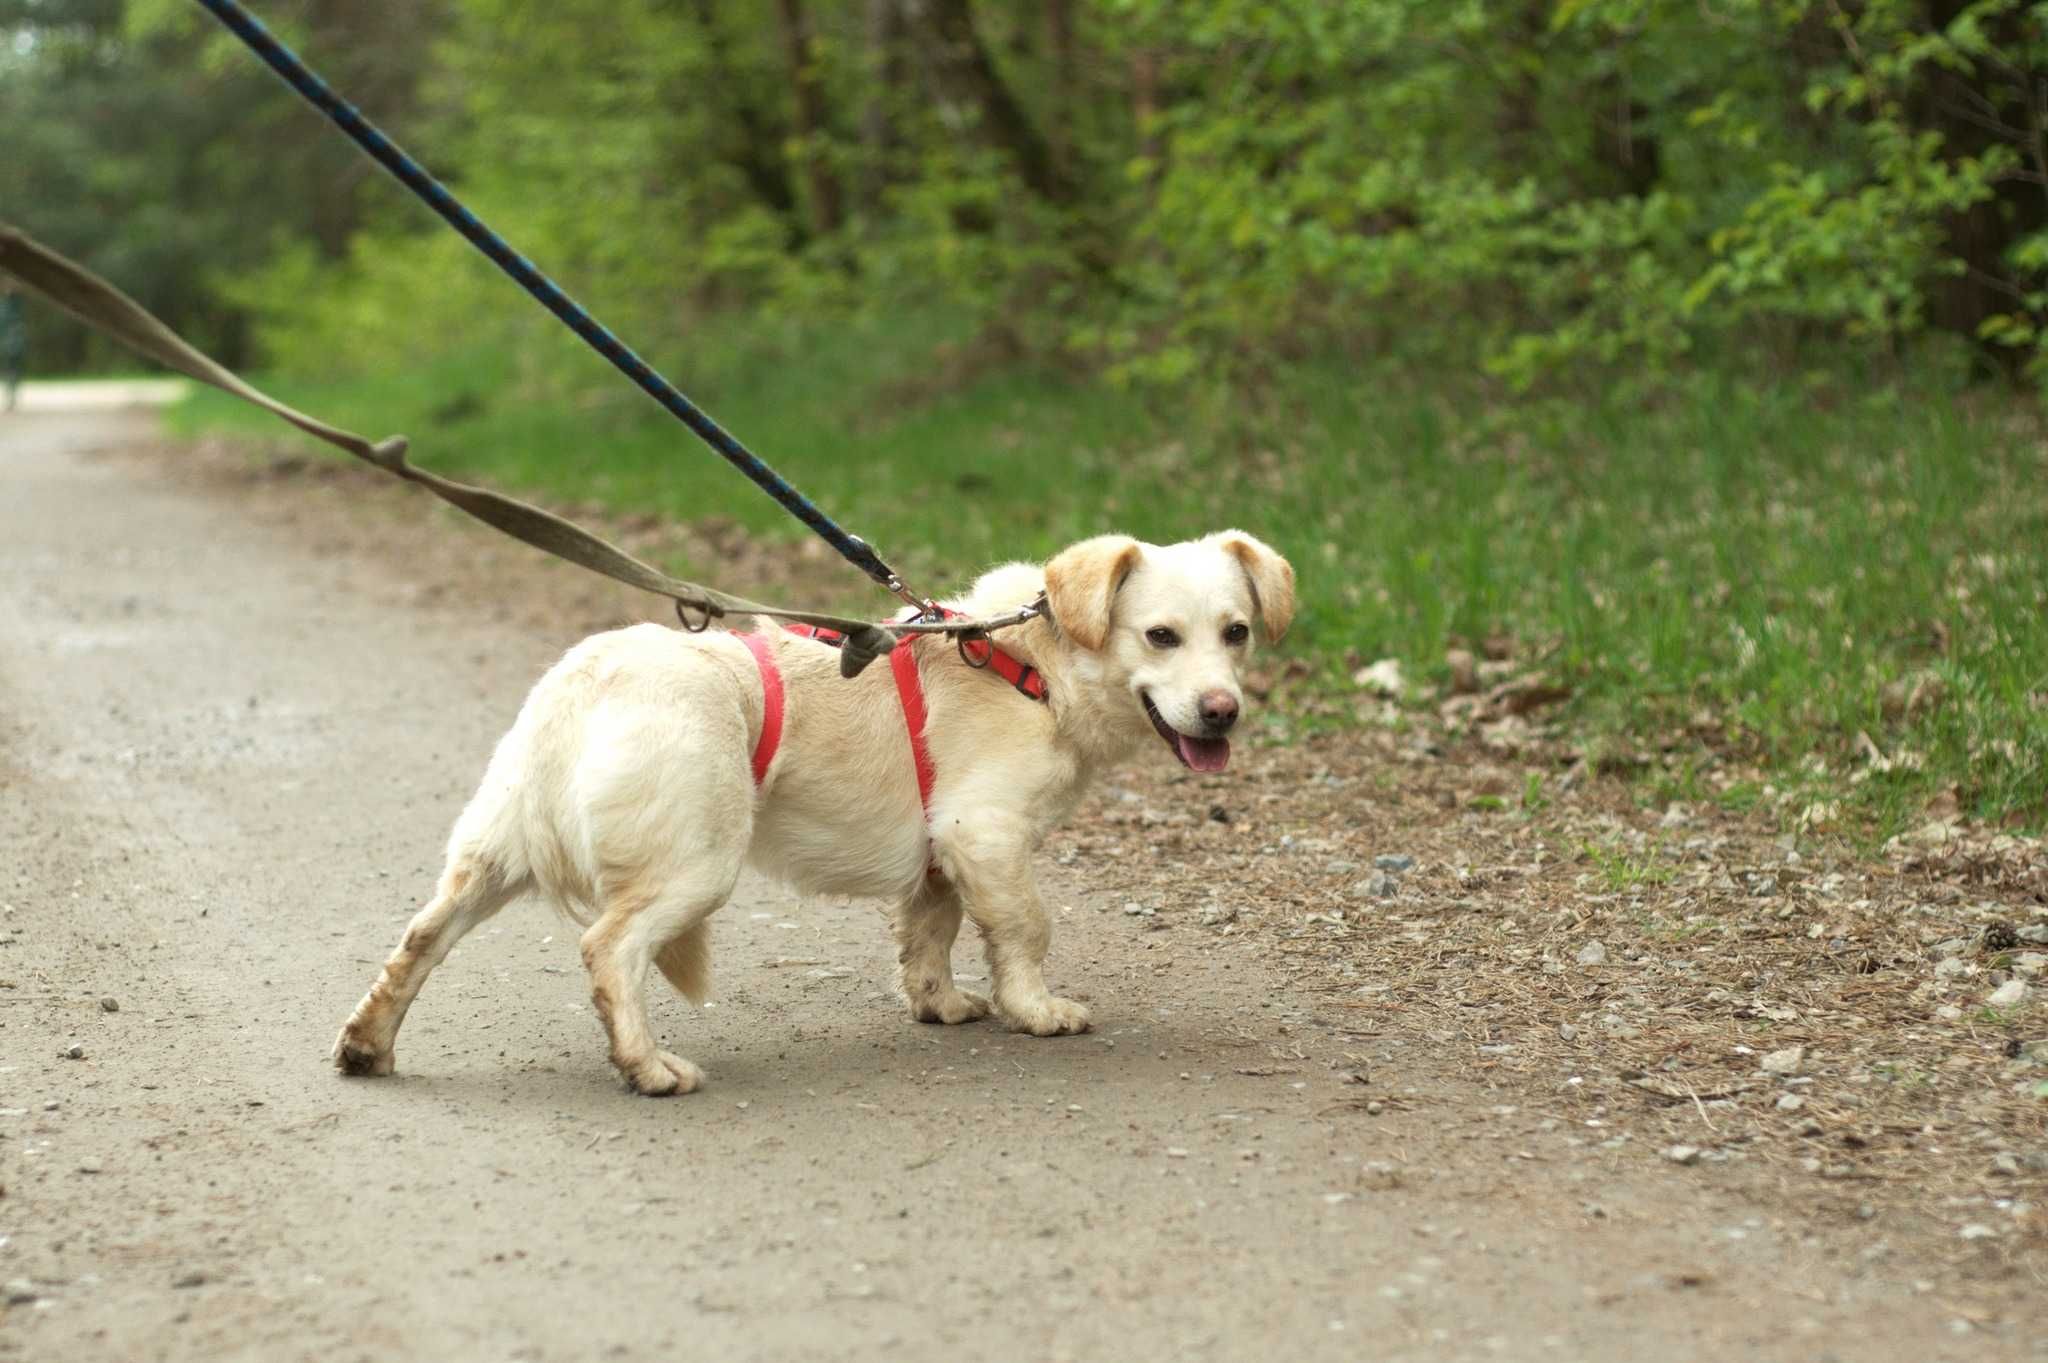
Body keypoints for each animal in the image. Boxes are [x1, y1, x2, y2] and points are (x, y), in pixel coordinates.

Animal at [335, 523, 1294, 1088]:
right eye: (1160, 636)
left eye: (1236, 633)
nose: (1223, 711)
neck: (1035, 661)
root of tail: (586, 677)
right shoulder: (985, 832)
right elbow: (1024, 928)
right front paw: (1036, 1009)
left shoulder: (942, 849)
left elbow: (931, 934)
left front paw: (939, 1003)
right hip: (696, 869)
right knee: (609, 951)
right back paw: (646, 1064)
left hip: (491, 857)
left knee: (420, 939)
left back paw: (369, 1043)